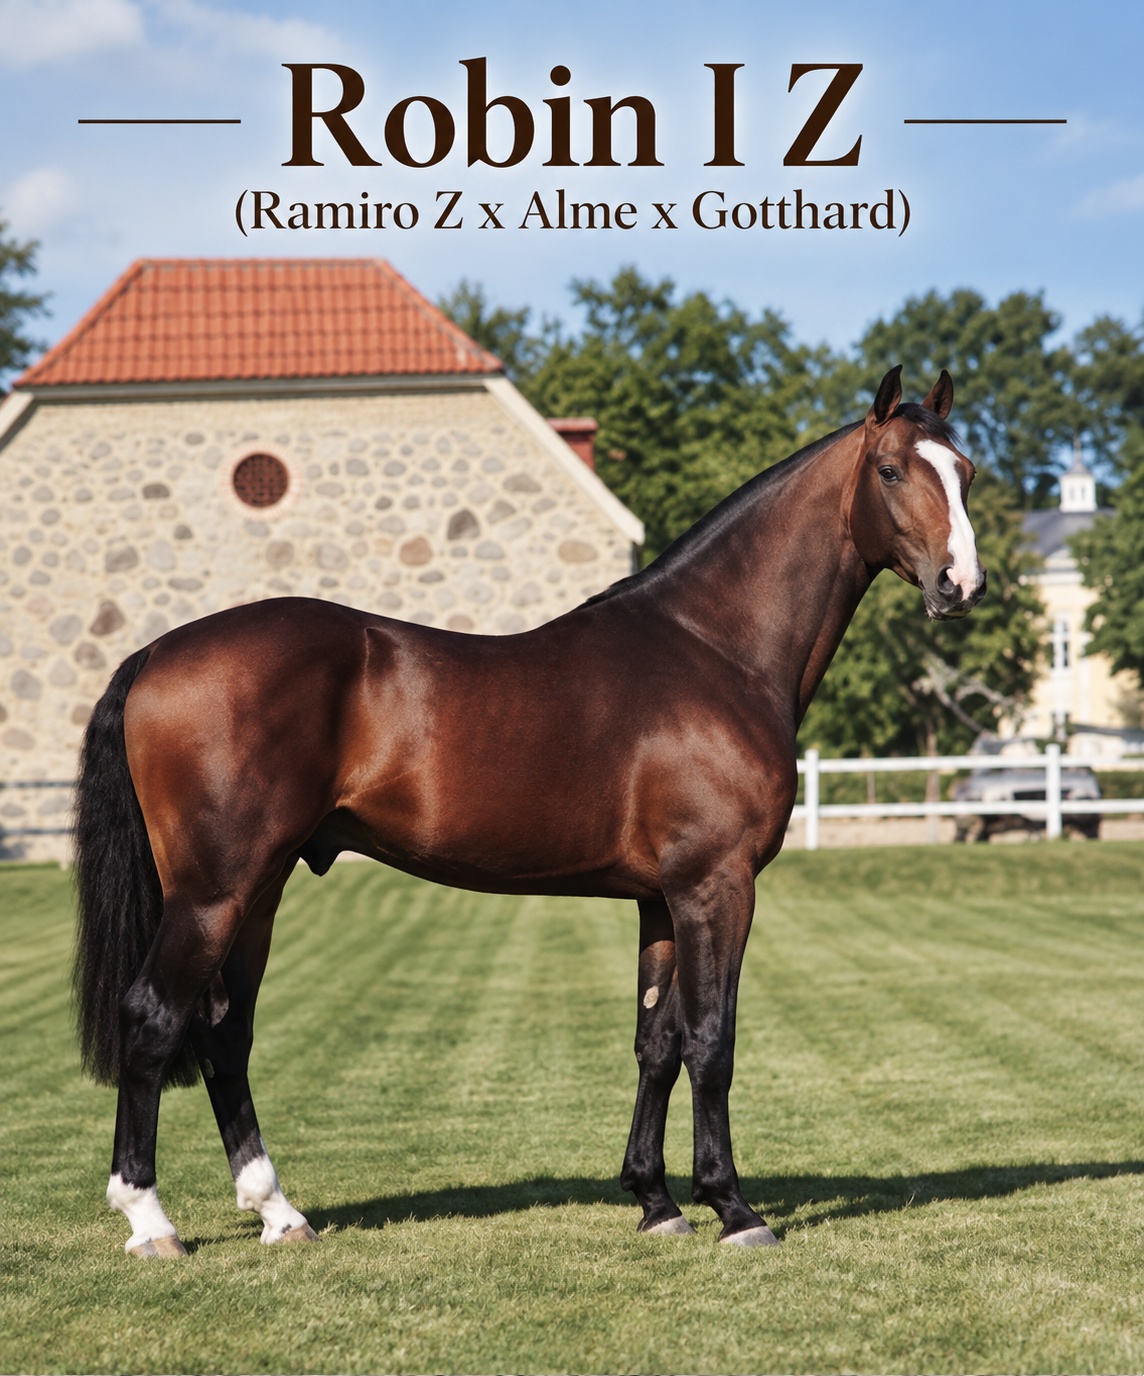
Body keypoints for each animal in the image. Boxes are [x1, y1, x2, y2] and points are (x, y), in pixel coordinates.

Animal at [73, 365, 985, 1257]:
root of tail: (157, 652)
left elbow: (657, 1043)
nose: (960, 585)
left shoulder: (661, 899)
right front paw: (733, 1208)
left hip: (258, 891)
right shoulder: (716, 886)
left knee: (225, 1035)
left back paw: (278, 1213)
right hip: (214, 892)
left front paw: (655, 1201)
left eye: (966, 472)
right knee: (154, 1018)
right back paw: (150, 1221)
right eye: (891, 470)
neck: (714, 649)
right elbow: (711, 1041)